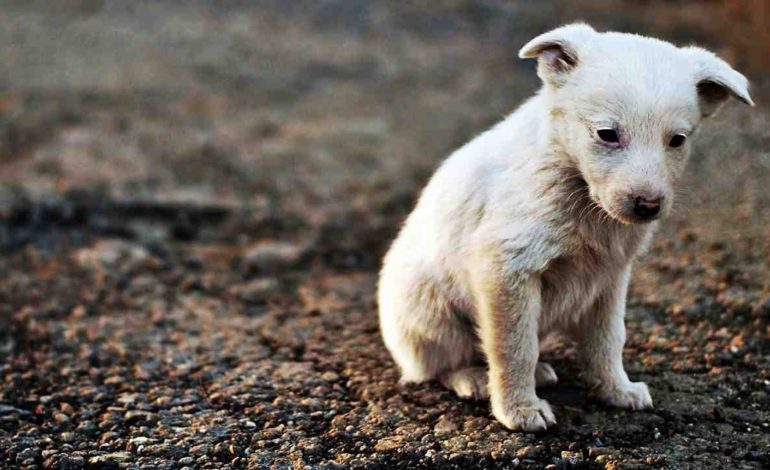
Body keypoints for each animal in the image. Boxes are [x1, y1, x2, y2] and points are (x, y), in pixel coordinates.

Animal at [378, 23, 752, 432]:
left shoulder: (610, 277)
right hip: (429, 310)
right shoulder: (507, 269)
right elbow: (514, 347)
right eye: (607, 134)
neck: (578, 189)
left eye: (678, 140)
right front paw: (520, 410)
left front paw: (616, 390)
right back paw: (473, 378)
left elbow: (608, 339)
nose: (648, 207)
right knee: (440, 364)